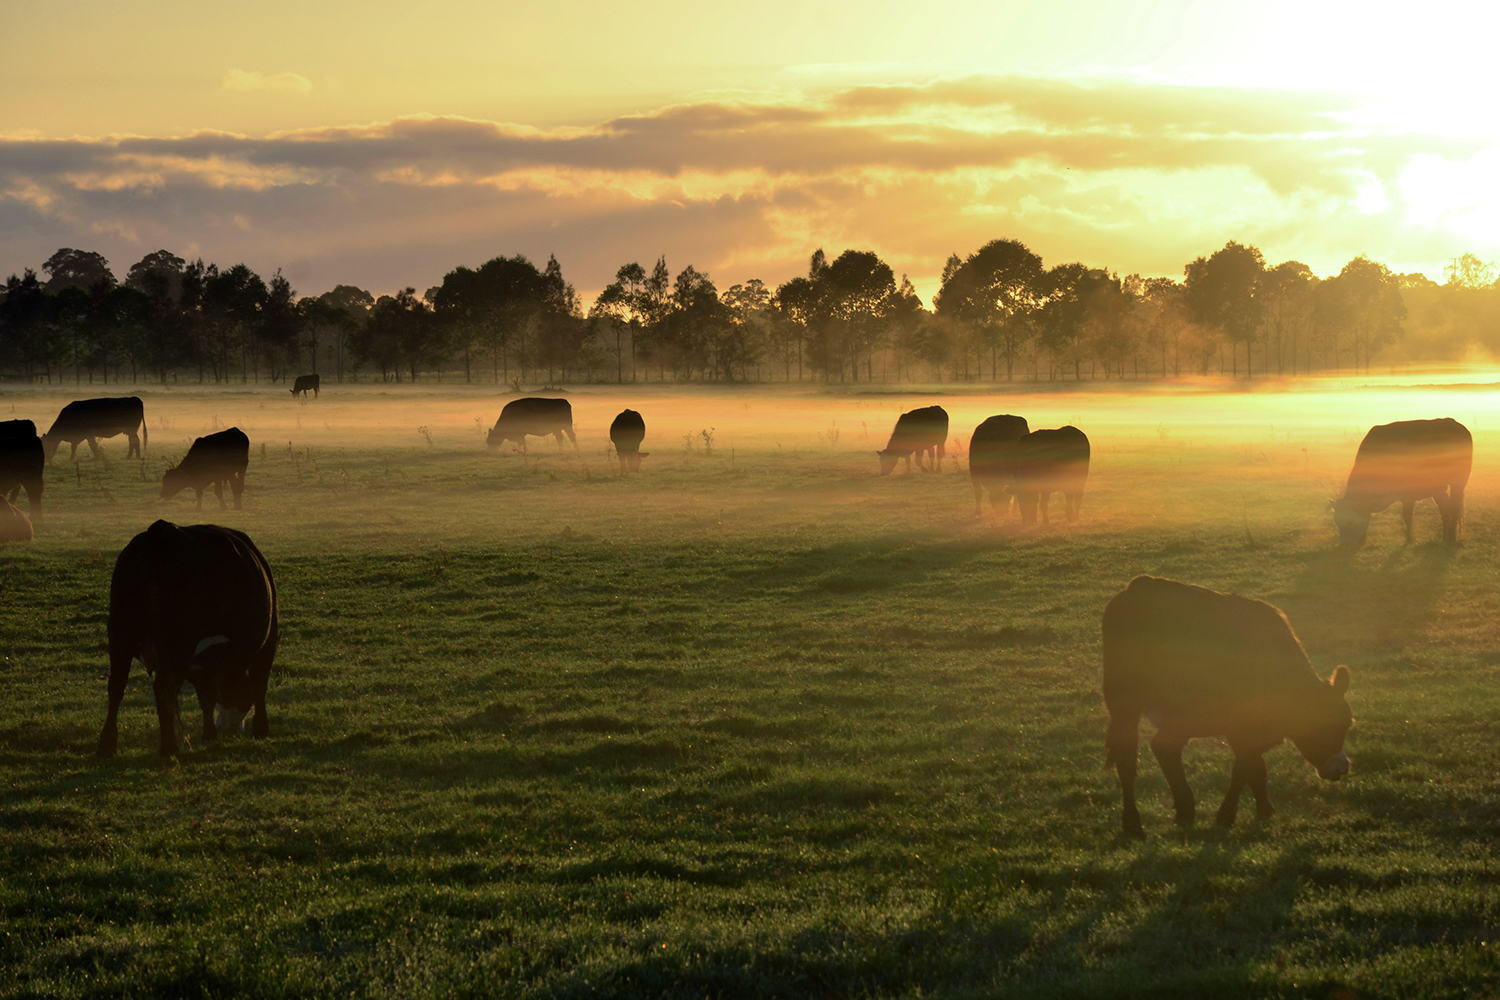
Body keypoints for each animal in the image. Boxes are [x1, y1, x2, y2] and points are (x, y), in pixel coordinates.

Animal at [96, 524, 279, 758]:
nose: (228, 728)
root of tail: (161, 530)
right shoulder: (268, 642)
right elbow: (259, 685)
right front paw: (260, 729)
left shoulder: (201, 666)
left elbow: (207, 697)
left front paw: (209, 735)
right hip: (177, 644)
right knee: (163, 689)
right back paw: (169, 747)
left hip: (121, 633)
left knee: (116, 686)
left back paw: (107, 745)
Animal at [1098, 575, 1356, 839]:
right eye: (1337, 726)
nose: (1343, 767)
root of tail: (1144, 585)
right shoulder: (1247, 727)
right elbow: (1245, 767)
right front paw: (1227, 816)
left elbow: (1257, 769)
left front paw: (1263, 809)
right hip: (1185, 711)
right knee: (1163, 747)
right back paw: (1183, 810)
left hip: (1124, 702)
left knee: (1127, 755)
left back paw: (1135, 824)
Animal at [1332, 416, 1470, 548]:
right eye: (1336, 522)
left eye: (1349, 521)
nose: (1344, 545)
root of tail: (1453, 422)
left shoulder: (1410, 493)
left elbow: (1407, 516)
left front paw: (1410, 539)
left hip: (1457, 482)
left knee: (1453, 507)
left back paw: (1449, 538)